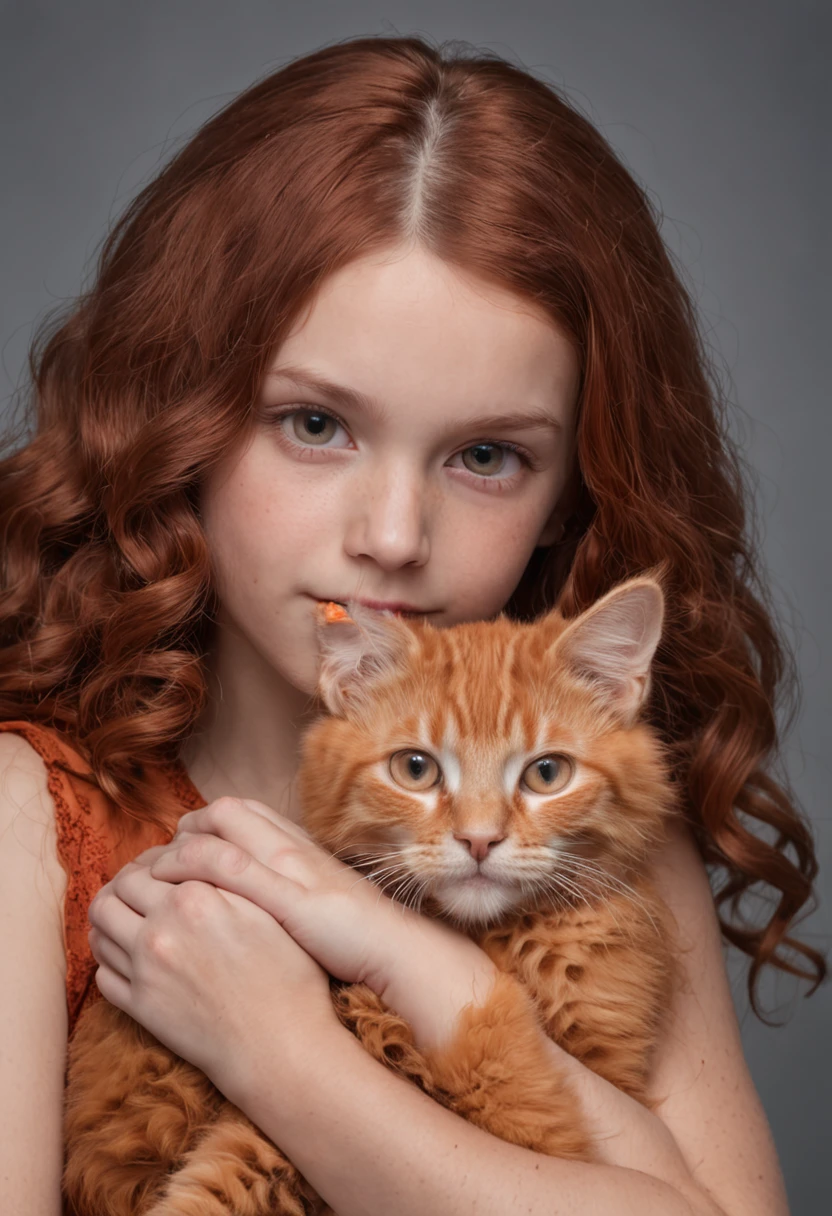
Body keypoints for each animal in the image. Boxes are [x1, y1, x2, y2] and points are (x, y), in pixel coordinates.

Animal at [66, 573, 681, 1216]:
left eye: (546, 774)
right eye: (415, 769)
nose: (479, 839)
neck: (494, 941)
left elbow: (523, 1096)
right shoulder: (270, 1136)